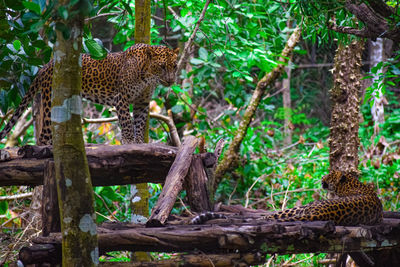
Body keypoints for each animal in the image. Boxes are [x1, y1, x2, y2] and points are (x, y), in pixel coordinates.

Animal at [0, 43, 178, 144]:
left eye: (175, 66)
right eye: (162, 66)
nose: (171, 81)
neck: (148, 78)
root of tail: (46, 66)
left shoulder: (142, 102)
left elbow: (139, 123)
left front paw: (140, 142)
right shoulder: (121, 98)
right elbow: (127, 122)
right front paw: (129, 142)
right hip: (51, 103)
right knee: (44, 137)